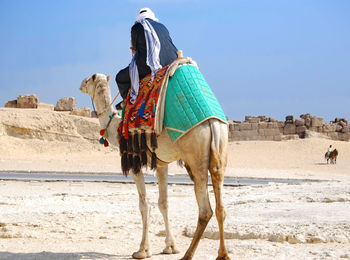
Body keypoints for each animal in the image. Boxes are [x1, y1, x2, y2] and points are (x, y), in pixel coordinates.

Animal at [80, 72, 231, 260]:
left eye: (88, 80)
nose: (80, 85)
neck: (116, 127)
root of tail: (213, 123)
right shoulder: (161, 164)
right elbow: (163, 203)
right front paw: (170, 247)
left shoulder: (134, 163)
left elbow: (144, 205)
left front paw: (142, 250)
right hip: (220, 152)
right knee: (220, 207)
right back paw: (222, 254)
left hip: (196, 156)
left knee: (205, 210)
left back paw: (188, 255)